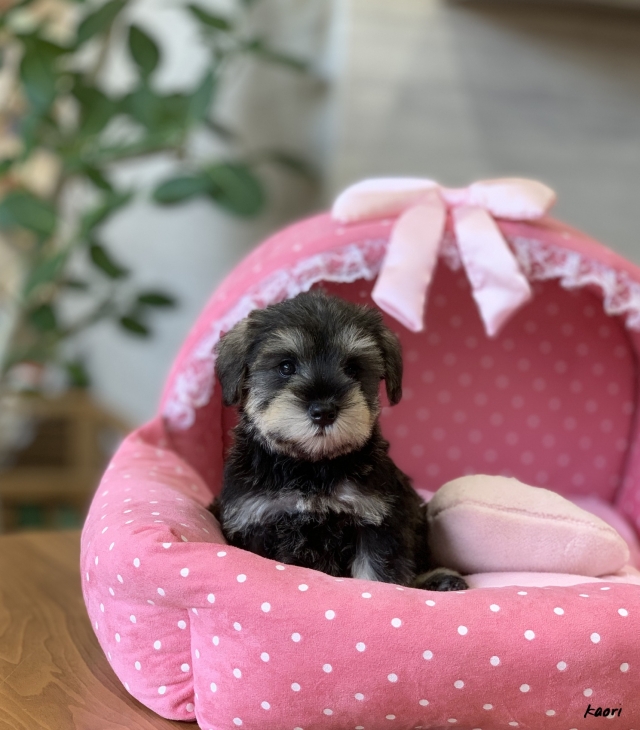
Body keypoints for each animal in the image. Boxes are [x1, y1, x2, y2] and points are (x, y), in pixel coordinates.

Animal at [211, 290, 467, 591]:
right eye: (286, 366)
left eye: (353, 368)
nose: (324, 412)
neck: (310, 467)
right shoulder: (254, 523)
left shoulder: (375, 524)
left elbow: (376, 575)